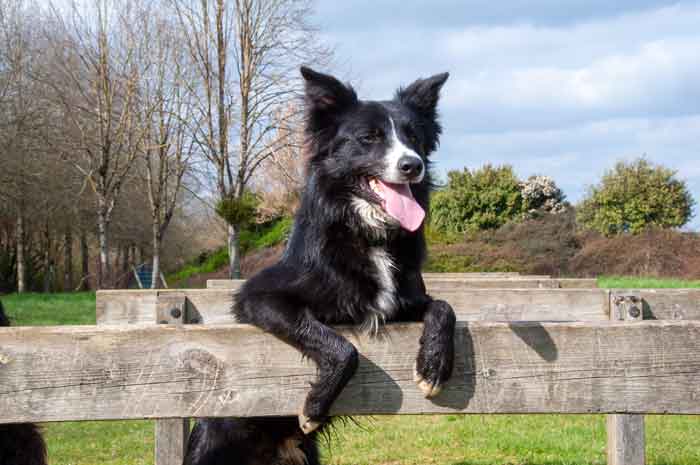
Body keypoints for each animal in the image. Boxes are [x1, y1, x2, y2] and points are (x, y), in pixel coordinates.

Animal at [185, 66, 454, 464]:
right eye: (369, 138)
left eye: (414, 137)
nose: (413, 165)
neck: (369, 235)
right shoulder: (259, 296)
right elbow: (342, 348)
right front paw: (314, 406)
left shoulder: (404, 306)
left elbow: (444, 308)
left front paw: (434, 366)